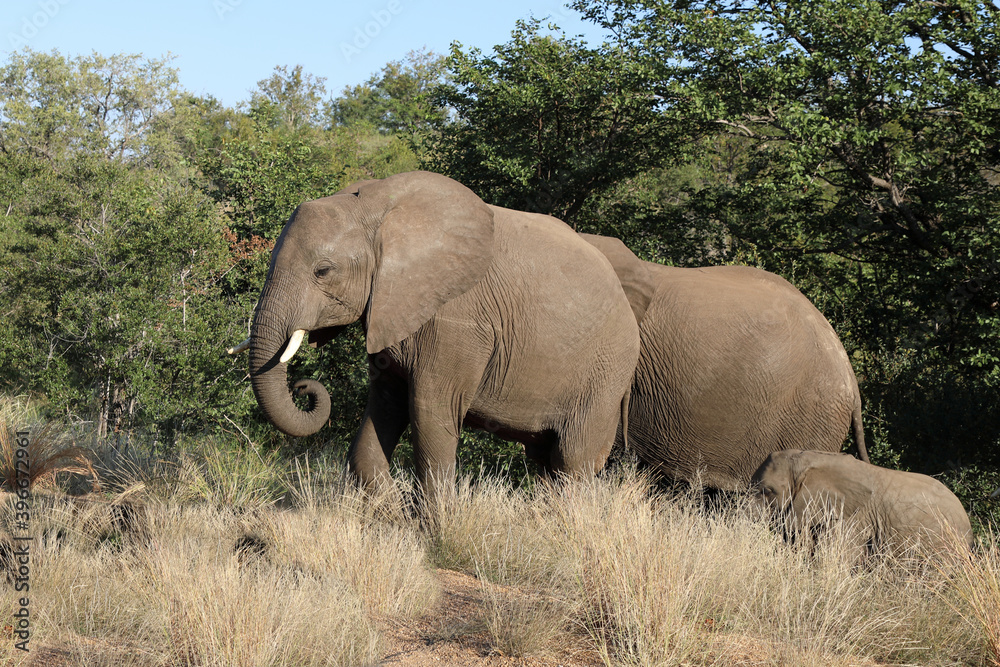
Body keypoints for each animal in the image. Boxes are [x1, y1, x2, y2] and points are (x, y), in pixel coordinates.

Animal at [229, 171, 640, 498]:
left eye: (323, 271)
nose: (303, 388)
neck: (380, 210)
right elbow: (384, 408)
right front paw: (393, 516)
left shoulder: (457, 321)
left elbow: (430, 414)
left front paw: (435, 529)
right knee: (544, 461)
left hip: (605, 376)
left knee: (572, 461)